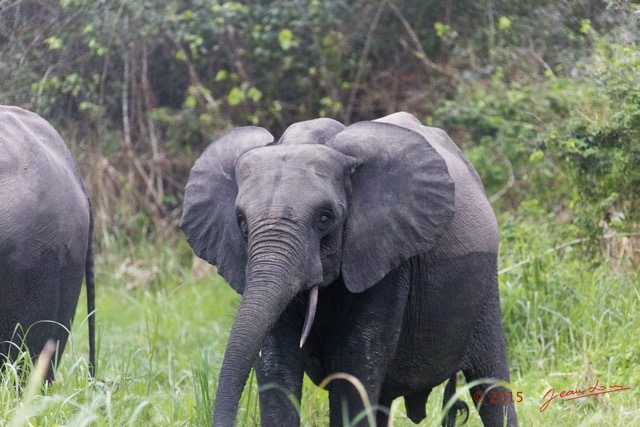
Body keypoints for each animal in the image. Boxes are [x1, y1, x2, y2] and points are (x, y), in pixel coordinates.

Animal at [179, 112, 516, 426]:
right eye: (242, 222)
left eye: (325, 218)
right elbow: (276, 364)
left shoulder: (385, 257)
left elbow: (353, 366)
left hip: (485, 288)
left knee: (491, 386)